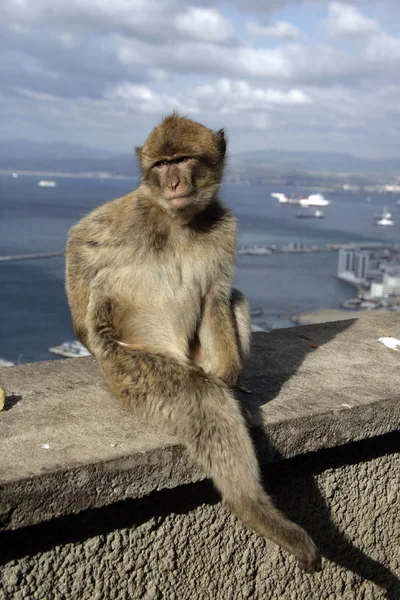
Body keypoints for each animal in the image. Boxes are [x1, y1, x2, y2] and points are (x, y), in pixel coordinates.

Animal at [66, 113, 322, 572]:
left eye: (183, 159)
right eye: (162, 164)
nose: (173, 182)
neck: (178, 221)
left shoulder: (224, 226)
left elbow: (216, 295)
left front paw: (232, 375)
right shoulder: (130, 213)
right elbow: (80, 244)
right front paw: (85, 334)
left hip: (198, 355)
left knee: (235, 303)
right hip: (133, 371)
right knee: (198, 394)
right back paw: (254, 509)